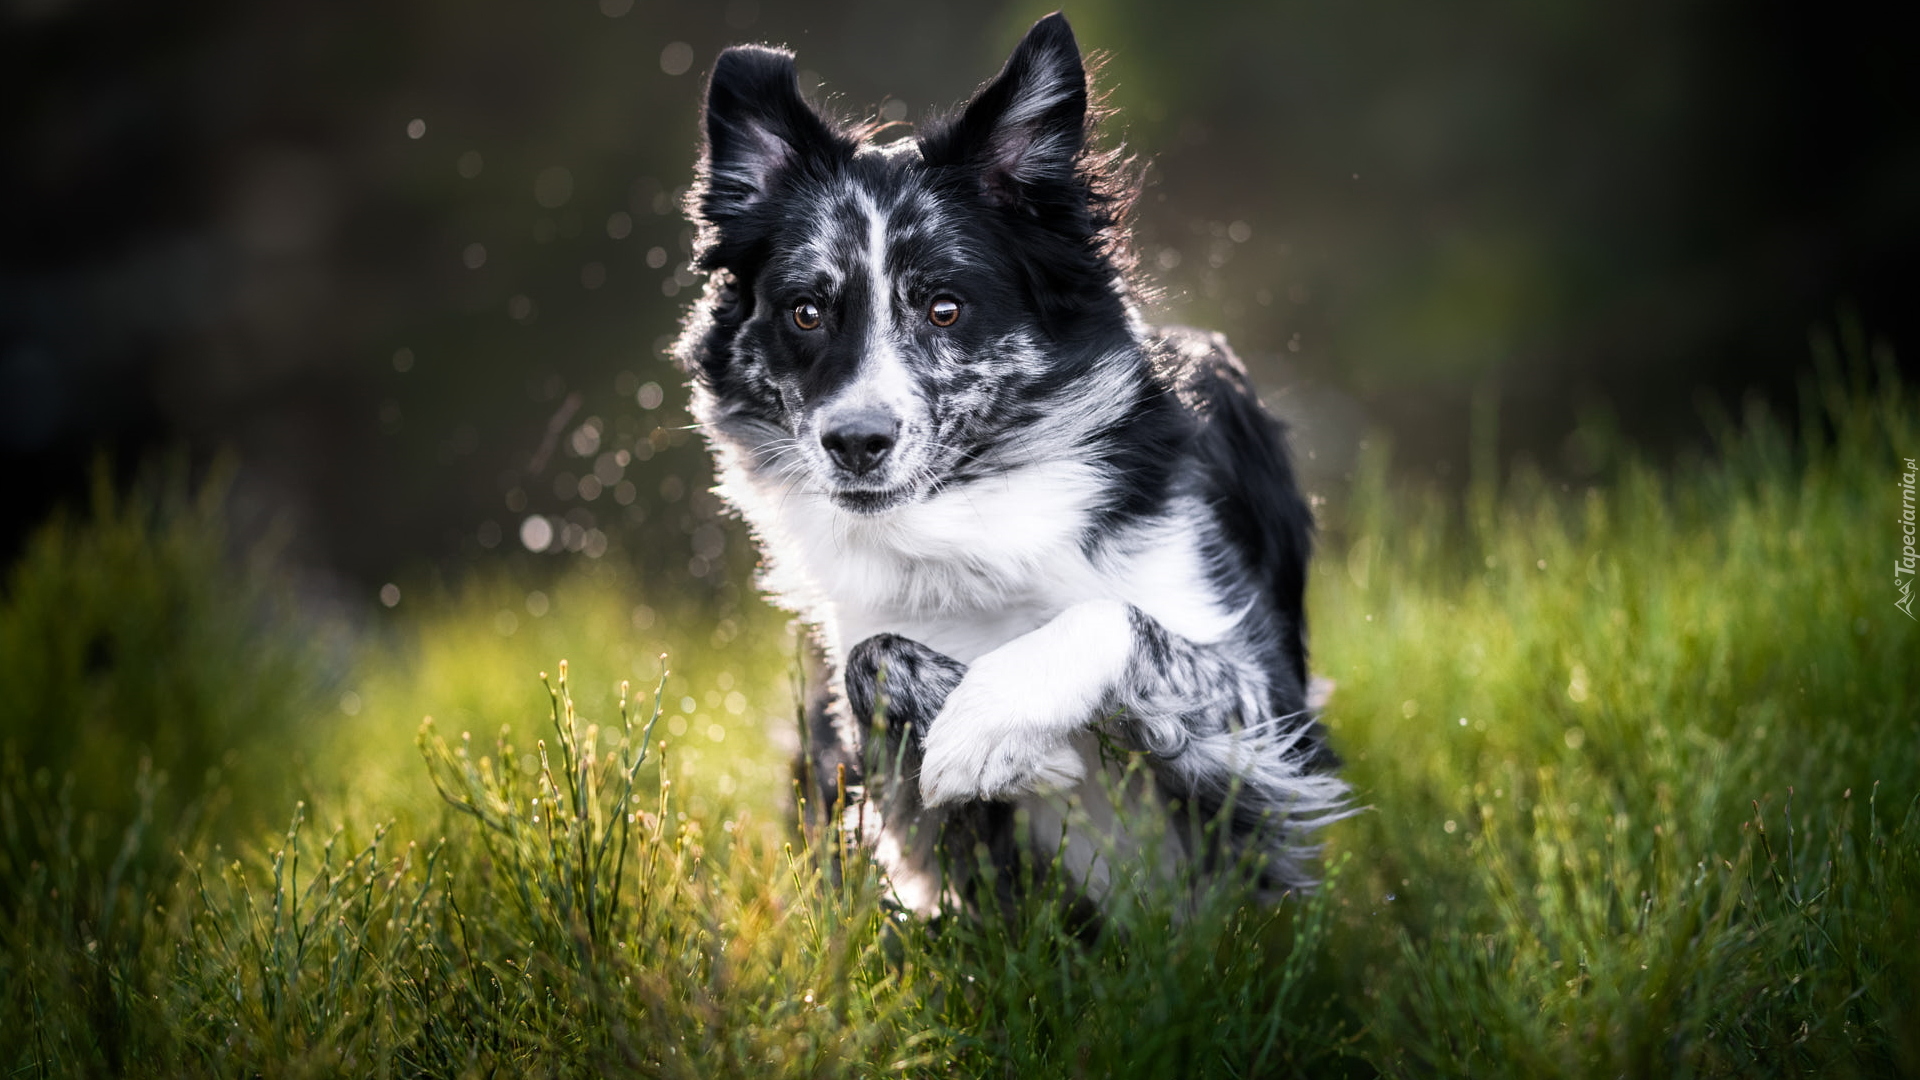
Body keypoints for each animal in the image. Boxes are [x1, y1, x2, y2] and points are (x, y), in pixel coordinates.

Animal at [675, 14, 1351, 907]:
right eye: (806, 312)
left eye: (945, 307)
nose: (854, 443)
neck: (968, 516)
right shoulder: (904, 810)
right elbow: (870, 662)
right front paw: (1011, 741)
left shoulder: (1268, 720)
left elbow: (1111, 617)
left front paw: (991, 722)